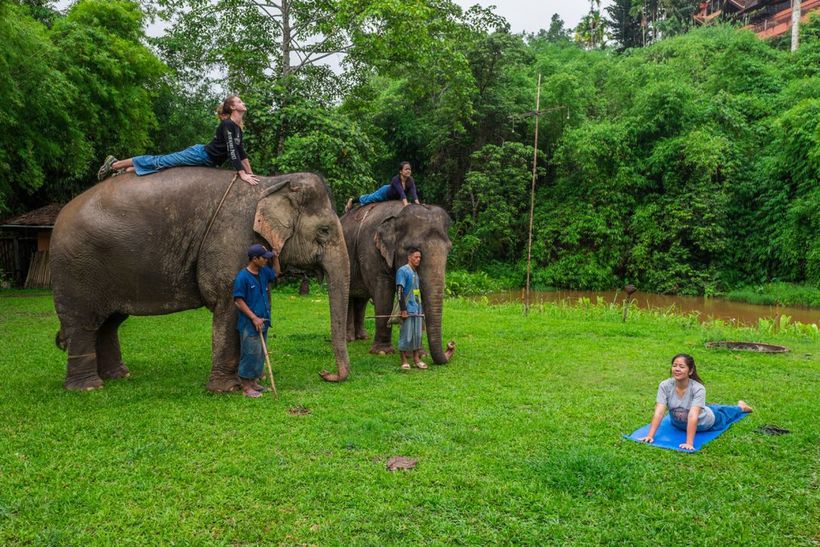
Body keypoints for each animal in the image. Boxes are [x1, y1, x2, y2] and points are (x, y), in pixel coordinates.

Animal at [48, 169, 350, 392]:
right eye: (324, 231)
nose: (325, 373)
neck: (272, 182)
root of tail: (60, 216)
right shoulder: (231, 240)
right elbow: (229, 303)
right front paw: (228, 388)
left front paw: (256, 380)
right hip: (76, 269)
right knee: (84, 324)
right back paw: (88, 387)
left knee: (109, 323)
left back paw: (119, 376)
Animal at [340, 201, 454, 364]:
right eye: (413, 248)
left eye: (449, 249)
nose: (450, 345)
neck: (399, 212)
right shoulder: (371, 250)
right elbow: (383, 294)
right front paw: (382, 352)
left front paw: (421, 354)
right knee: (348, 296)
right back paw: (349, 339)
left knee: (361, 299)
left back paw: (362, 337)